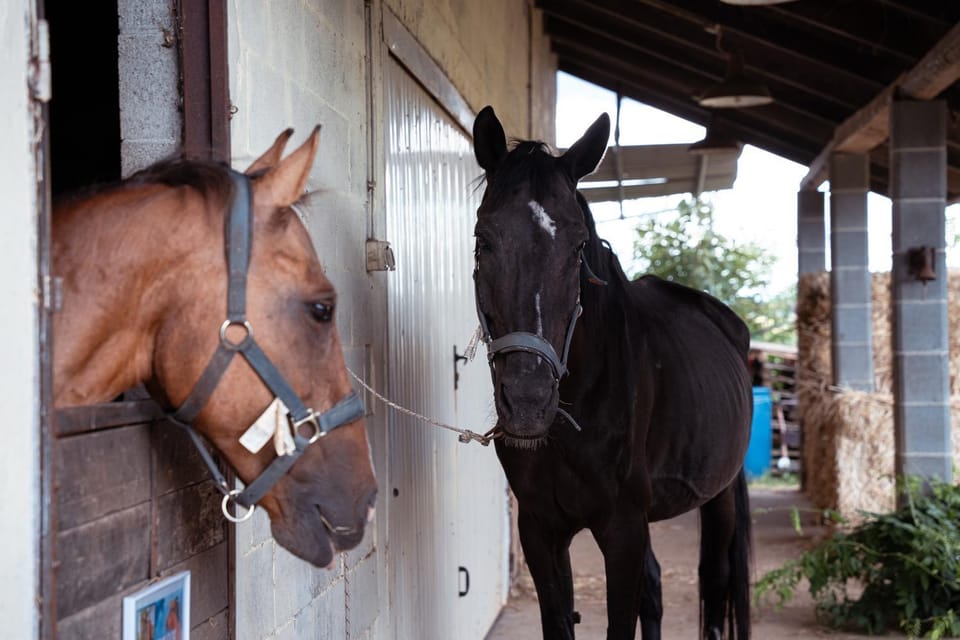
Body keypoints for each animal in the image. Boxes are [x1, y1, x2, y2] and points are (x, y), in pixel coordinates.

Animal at [471, 106, 753, 639]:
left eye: (579, 244)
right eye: (483, 239)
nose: (528, 402)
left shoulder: (623, 529)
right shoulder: (541, 529)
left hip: (720, 495)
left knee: (717, 581)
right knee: (656, 588)